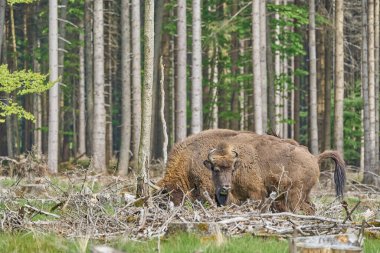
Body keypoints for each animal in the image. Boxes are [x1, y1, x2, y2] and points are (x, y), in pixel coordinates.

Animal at [157, 128, 344, 213]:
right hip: (302, 194)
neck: (189, 160)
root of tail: (314, 157)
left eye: (170, 193)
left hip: (294, 194)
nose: (168, 207)